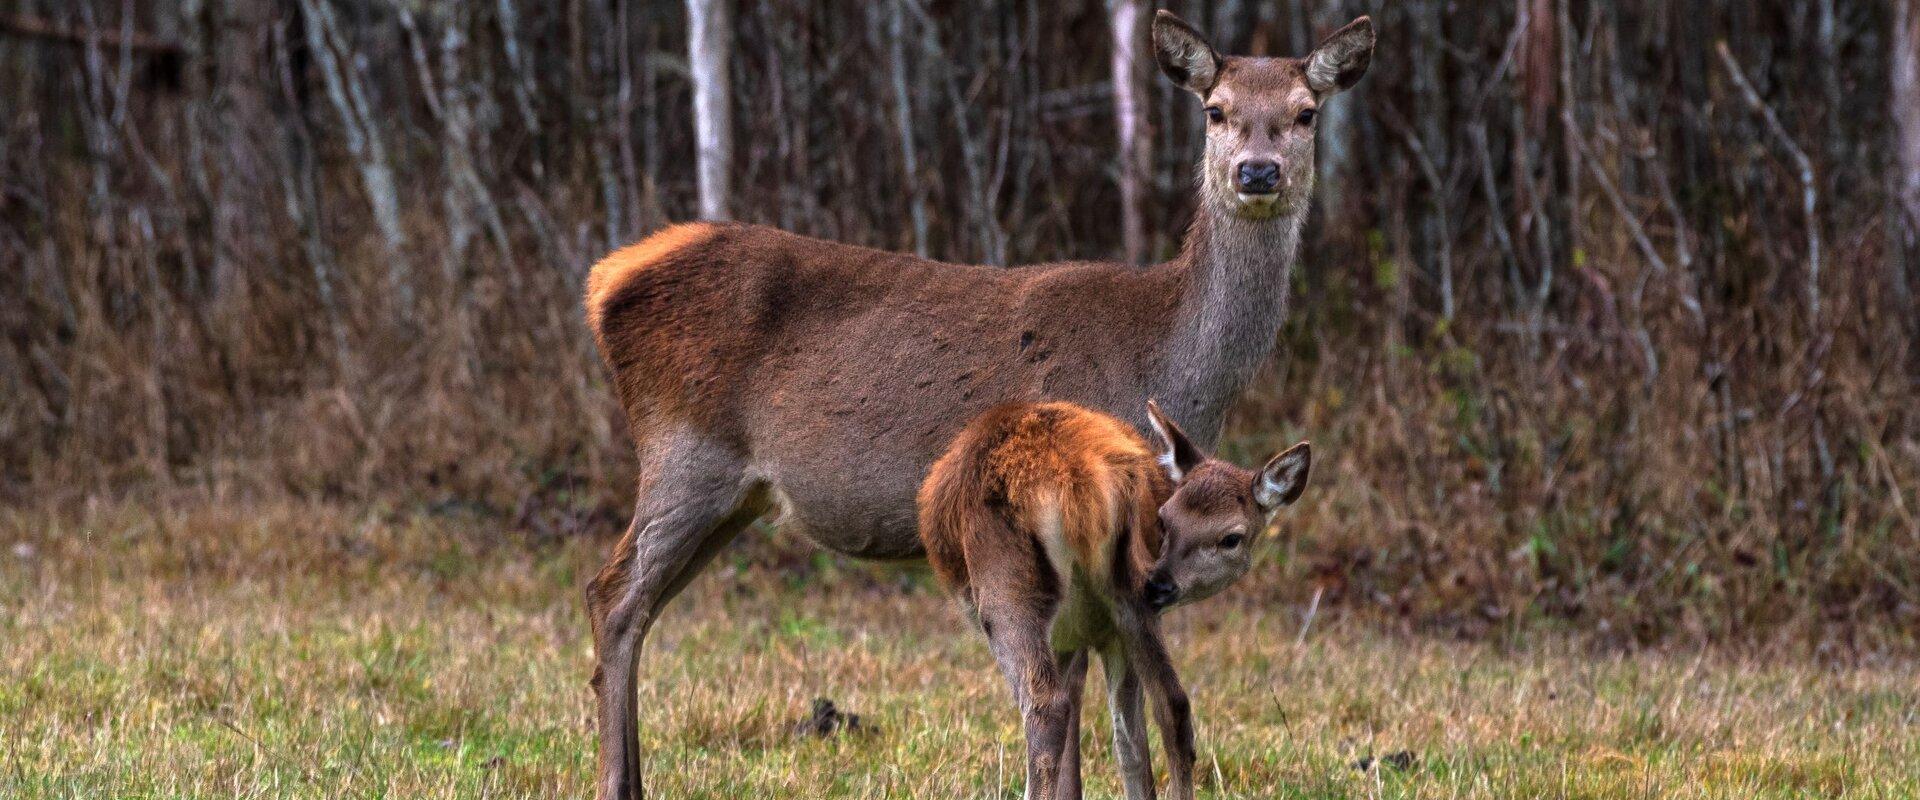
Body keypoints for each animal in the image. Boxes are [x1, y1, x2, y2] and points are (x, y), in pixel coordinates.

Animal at [579, 14, 1367, 798]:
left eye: (1306, 111)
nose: (1258, 172)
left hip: (735, 495)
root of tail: (605, 282)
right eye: (1216, 110)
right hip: (687, 454)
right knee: (612, 596)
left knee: (640, 605)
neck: (1173, 366)